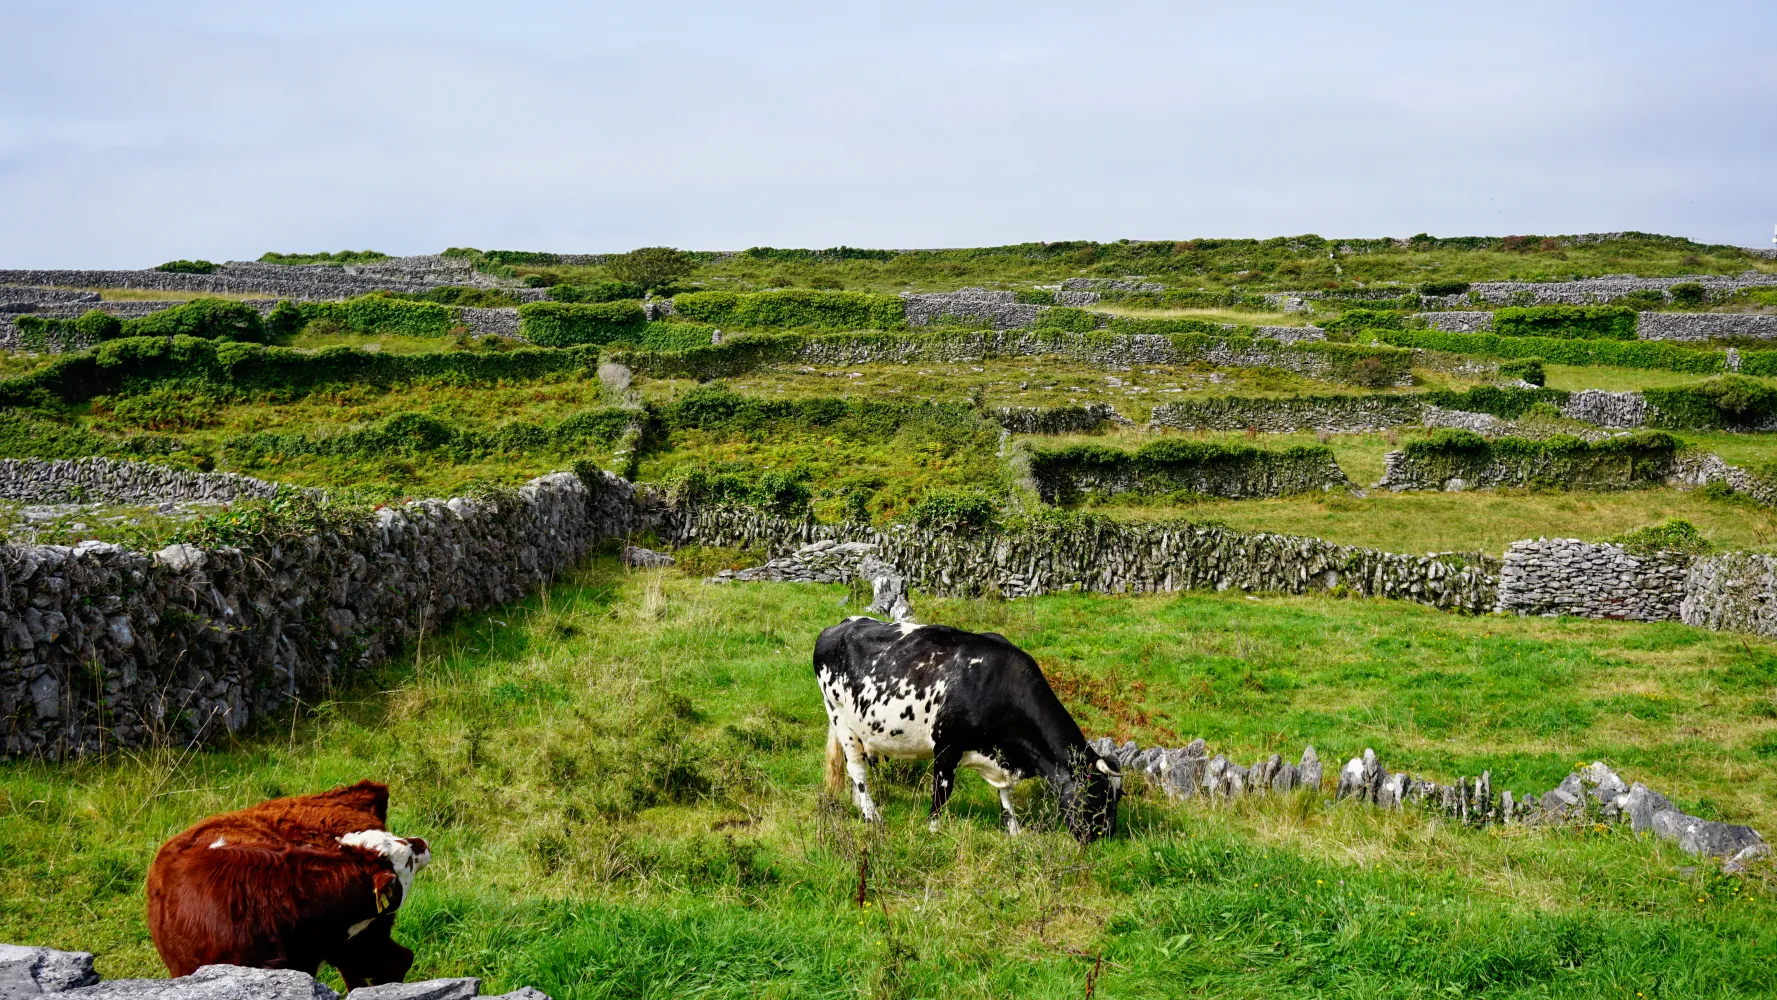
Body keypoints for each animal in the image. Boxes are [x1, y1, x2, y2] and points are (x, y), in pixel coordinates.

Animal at [814, 617, 1122, 842]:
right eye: (1096, 796)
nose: (1104, 837)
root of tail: (839, 626)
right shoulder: (946, 748)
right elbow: (942, 793)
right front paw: (933, 830)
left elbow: (1005, 796)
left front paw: (1014, 832)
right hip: (841, 719)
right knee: (857, 770)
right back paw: (872, 816)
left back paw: (859, 805)